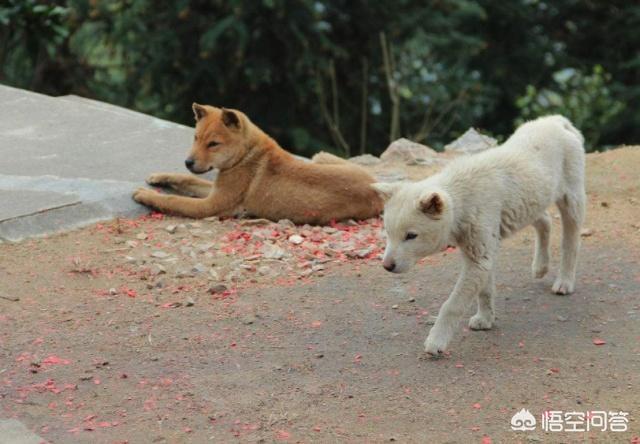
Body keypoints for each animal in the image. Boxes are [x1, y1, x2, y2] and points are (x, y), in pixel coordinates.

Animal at [130, 103, 380, 222]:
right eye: (196, 138)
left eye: (213, 144)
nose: (188, 162)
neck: (246, 155)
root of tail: (377, 189)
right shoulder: (216, 188)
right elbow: (186, 179)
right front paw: (158, 177)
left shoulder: (211, 205)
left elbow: (173, 199)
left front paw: (146, 194)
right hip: (321, 156)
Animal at [372, 116, 588, 356]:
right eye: (388, 233)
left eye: (411, 236)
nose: (387, 266)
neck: (461, 197)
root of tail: (556, 121)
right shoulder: (481, 252)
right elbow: (484, 291)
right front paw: (485, 319)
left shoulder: (479, 256)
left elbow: (452, 305)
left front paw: (436, 341)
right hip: (530, 202)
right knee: (545, 221)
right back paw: (540, 267)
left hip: (572, 197)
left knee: (571, 241)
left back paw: (564, 282)